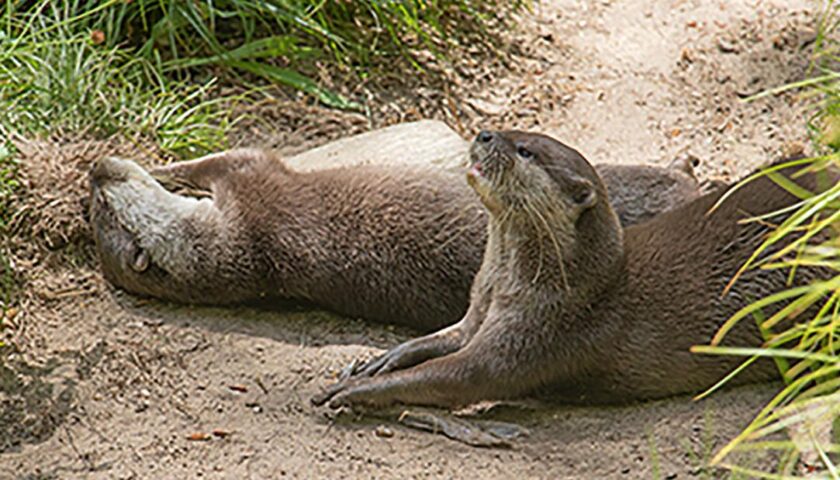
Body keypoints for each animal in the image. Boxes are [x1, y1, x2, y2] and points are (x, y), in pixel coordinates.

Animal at [89, 141, 700, 332]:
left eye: (96, 201)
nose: (95, 170)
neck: (245, 247)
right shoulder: (253, 183)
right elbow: (225, 158)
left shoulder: (248, 185)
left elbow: (206, 163)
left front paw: (159, 164)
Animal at [312, 130, 835, 409]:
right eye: (512, 131)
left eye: (525, 151)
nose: (484, 134)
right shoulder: (480, 309)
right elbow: (443, 338)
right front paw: (382, 358)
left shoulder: (539, 332)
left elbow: (459, 374)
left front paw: (354, 389)